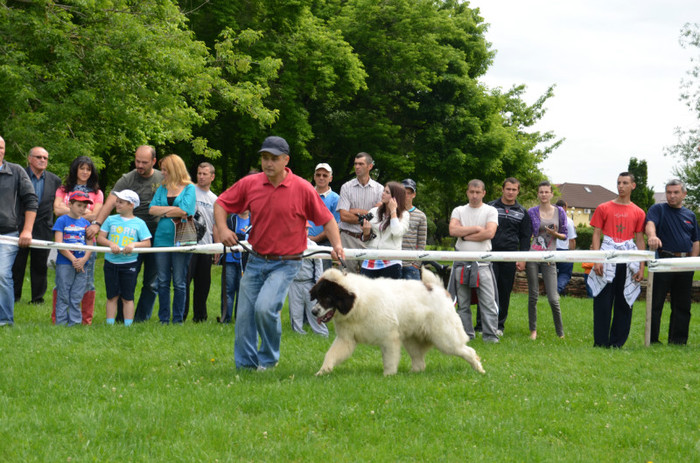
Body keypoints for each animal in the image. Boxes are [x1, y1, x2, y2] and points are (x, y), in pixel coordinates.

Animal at [308, 268, 484, 376]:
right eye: (318, 296)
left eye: (327, 298)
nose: (313, 311)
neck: (358, 303)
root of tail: (439, 289)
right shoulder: (345, 339)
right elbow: (331, 354)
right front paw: (323, 371)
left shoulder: (389, 338)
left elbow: (389, 359)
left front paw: (388, 375)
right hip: (413, 340)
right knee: (420, 362)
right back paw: (413, 374)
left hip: (445, 338)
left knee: (468, 351)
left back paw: (479, 369)